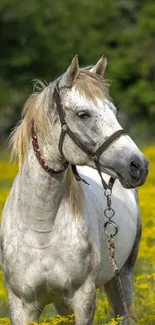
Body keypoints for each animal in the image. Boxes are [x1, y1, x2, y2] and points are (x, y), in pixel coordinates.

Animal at [0, 56, 148, 324]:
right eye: (83, 114)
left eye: (114, 111)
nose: (138, 165)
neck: (42, 228)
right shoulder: (21, 306)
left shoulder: (83, 300)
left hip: (123, 277)